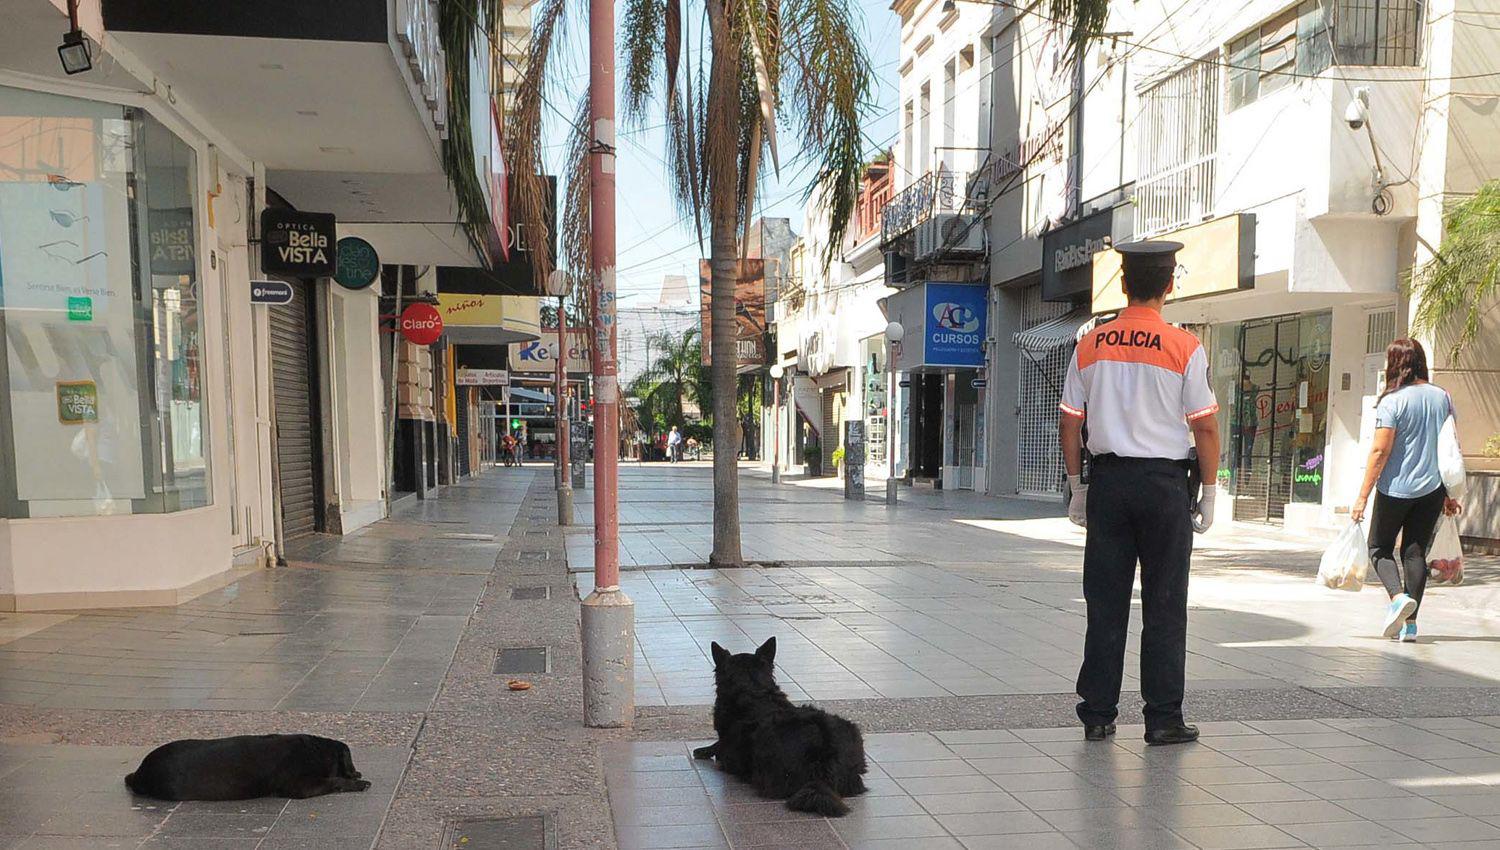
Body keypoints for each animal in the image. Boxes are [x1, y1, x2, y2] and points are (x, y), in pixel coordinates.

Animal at [123, 734, 369, 803]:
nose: (357, 771)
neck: (315, 750)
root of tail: (140, 772)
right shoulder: (301, 787)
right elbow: (333, 781)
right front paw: (358, 782)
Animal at [690, 638, 870, 815]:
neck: (753, 690)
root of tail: (824, 757)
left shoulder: (727, 751)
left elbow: (719, 747)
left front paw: (705, 750)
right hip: (852, 731)